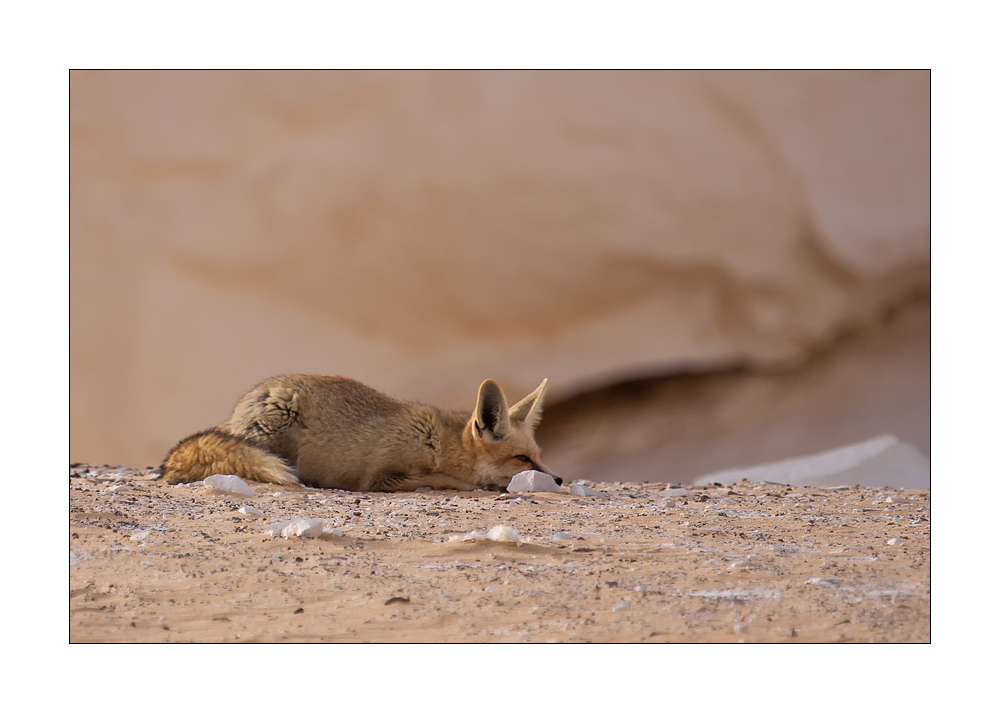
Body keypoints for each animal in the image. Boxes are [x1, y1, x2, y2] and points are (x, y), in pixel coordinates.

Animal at [160, 376, 560, 492]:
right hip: (282, 426)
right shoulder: (382, 478)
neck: (438, 444)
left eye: (539, 456)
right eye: (522, 458)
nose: (557, 478)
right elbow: (450, 480)